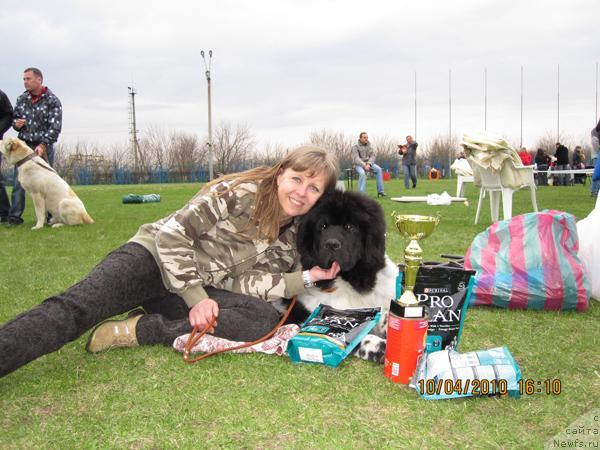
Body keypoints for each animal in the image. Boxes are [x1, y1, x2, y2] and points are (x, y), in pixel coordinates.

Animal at [286, 189, 398, 362]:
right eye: (323, 226)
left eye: (349, 226)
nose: (331, 244)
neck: (350, 280)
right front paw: (378, 346)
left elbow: (387, 313)